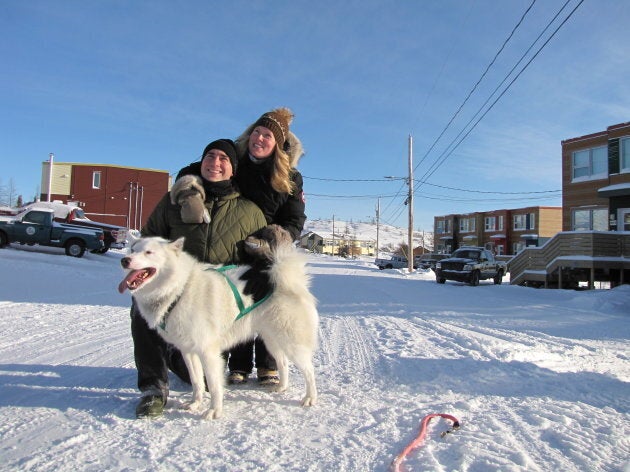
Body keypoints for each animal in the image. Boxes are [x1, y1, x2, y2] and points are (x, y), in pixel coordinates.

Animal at [118, 227, 318, 418]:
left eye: (149, 252)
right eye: (133, 249)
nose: (125, 260)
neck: (180, 289)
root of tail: (283, 277)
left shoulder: (208, 353)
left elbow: (214, 386)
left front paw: (214, 411)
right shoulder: (188, 351)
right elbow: (197, 382)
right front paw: (195, 403)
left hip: (291, 343)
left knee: (309, 371)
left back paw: (310, 398)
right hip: (272, 340)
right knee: (283, 363)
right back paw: (281, 387)